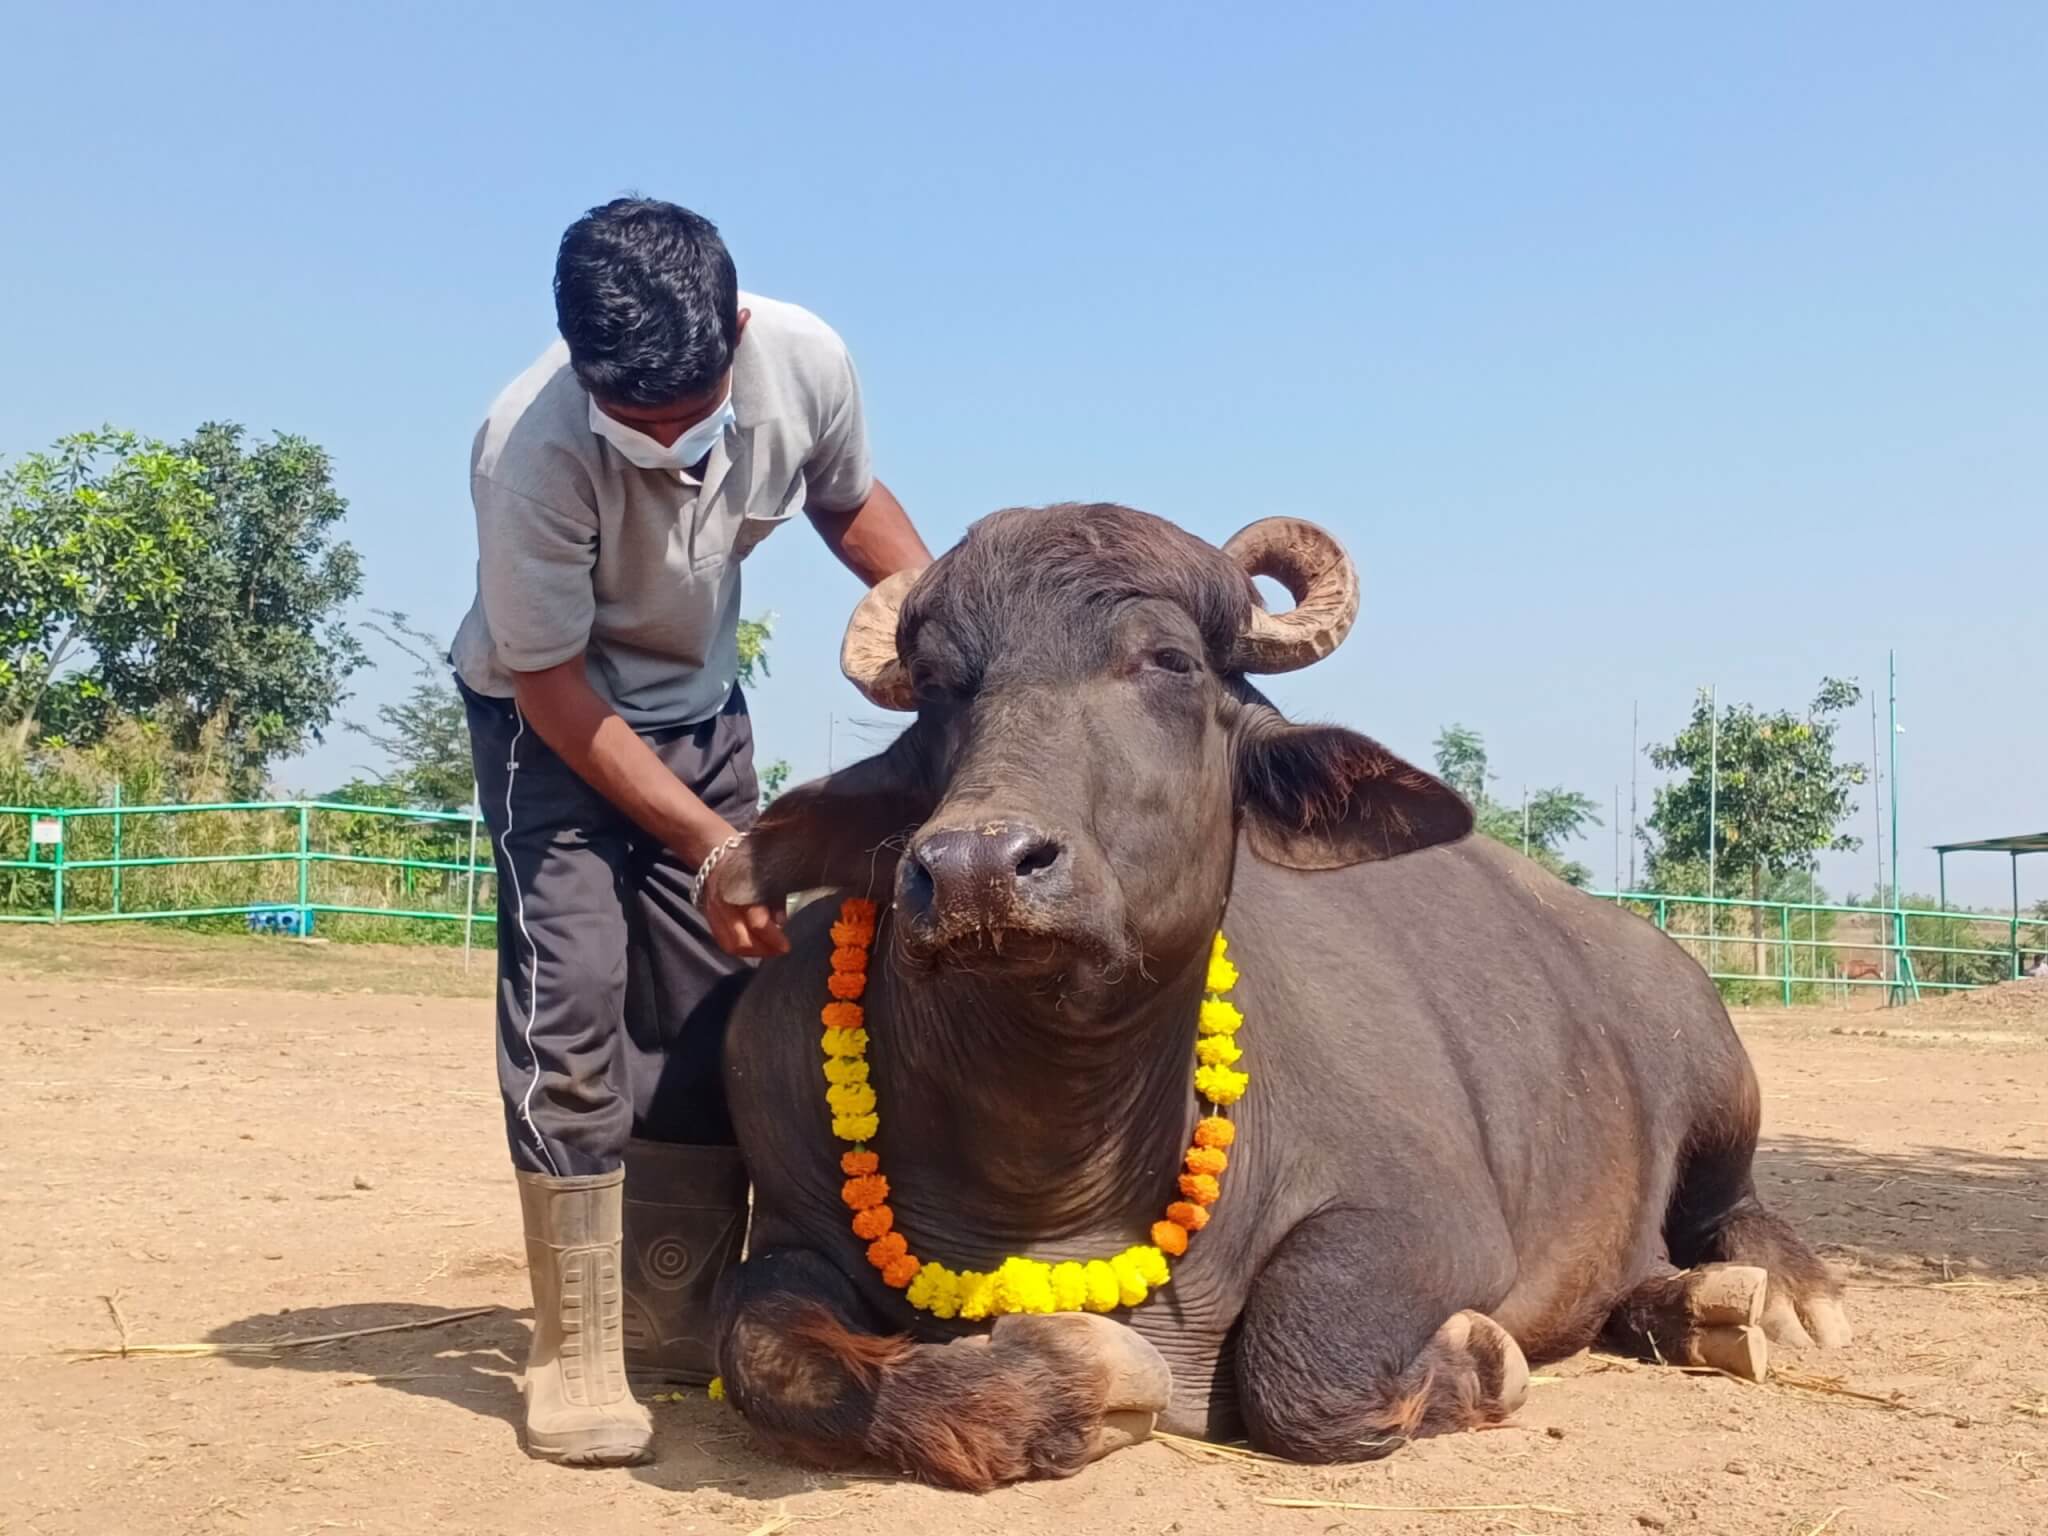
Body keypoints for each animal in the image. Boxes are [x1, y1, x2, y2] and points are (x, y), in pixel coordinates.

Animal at [700, 505, 1843, 1490]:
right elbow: (762, 1349)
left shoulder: (1428, 1216)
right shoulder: (790, 1217)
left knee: (1729, 1204)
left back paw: (1779, 1299)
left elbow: (1303, 1360)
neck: (1044, 1165)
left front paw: (1481, 1357)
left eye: (1165, 661)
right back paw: (1692, 1309)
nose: (978, 866)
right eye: (940, 684)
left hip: (1717, 1069)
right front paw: (1062, 1387)